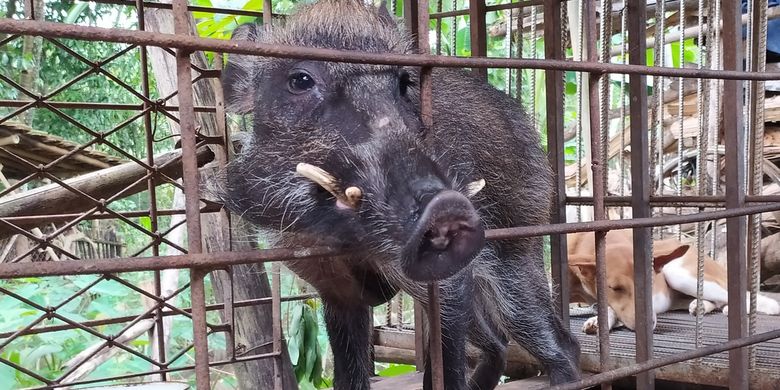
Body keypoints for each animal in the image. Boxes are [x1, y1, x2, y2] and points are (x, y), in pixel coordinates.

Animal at [568, 229, 780, 336]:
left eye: (651, 284)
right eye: (615, 288)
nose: (648, 325)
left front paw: (601, 320)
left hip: (679, 273)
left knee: (749, 296)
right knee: (717, 301)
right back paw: (701, 306)